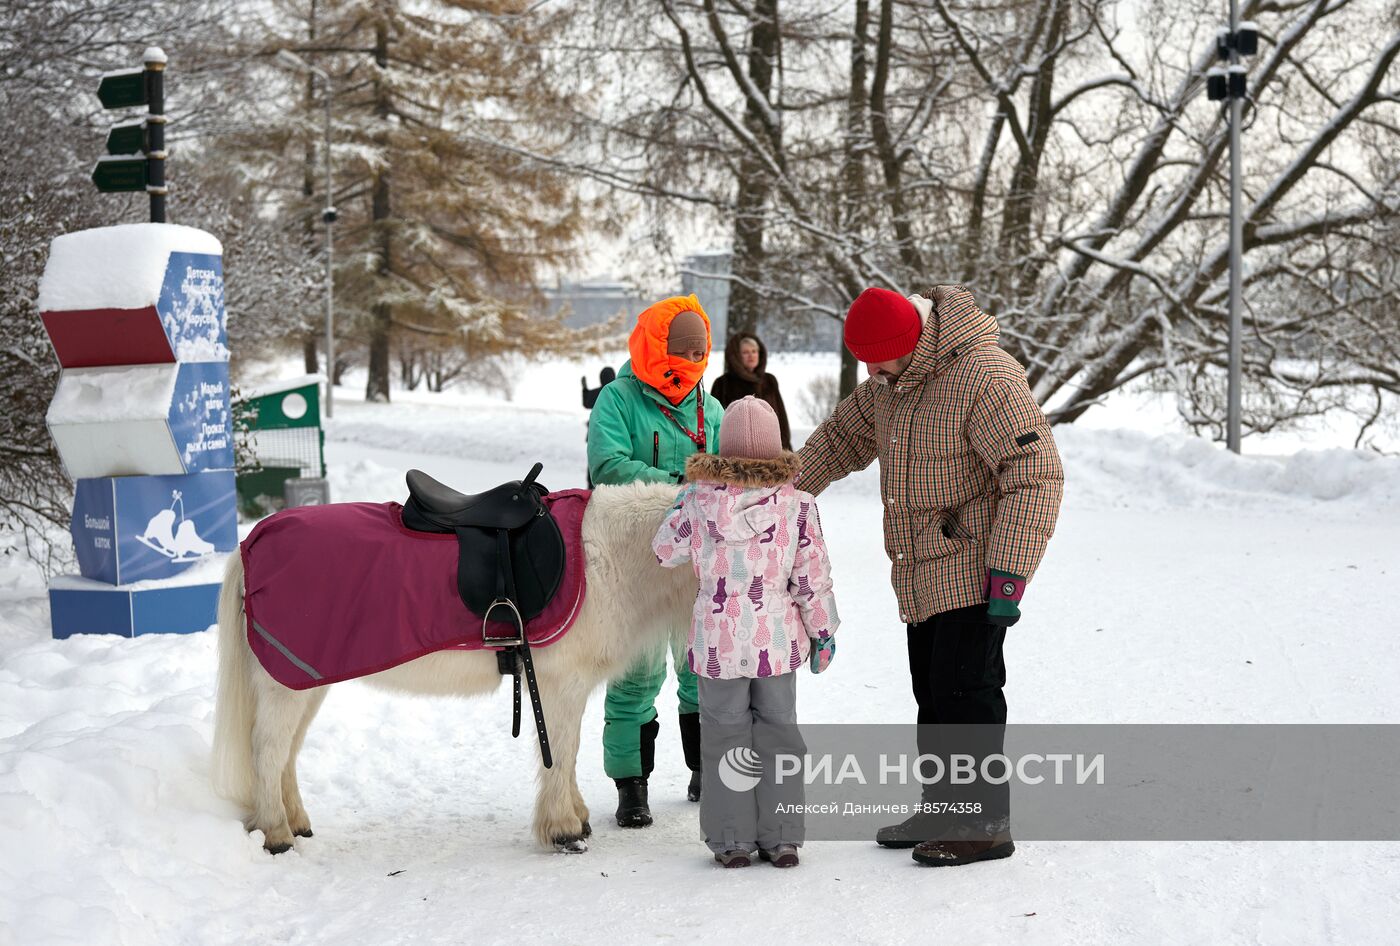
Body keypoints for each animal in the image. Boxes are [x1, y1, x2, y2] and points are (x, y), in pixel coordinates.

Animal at [211, 484, 694, 850]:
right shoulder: (560, 686)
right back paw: (277, 834)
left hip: (306, 681)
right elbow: (562, 751)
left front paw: (576, 816)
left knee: (287, 753)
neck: (604, 557)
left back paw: (295, 822)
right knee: (269, 750)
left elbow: (567, 755)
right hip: (283, 687)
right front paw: (564, 829)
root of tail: (250, 544)